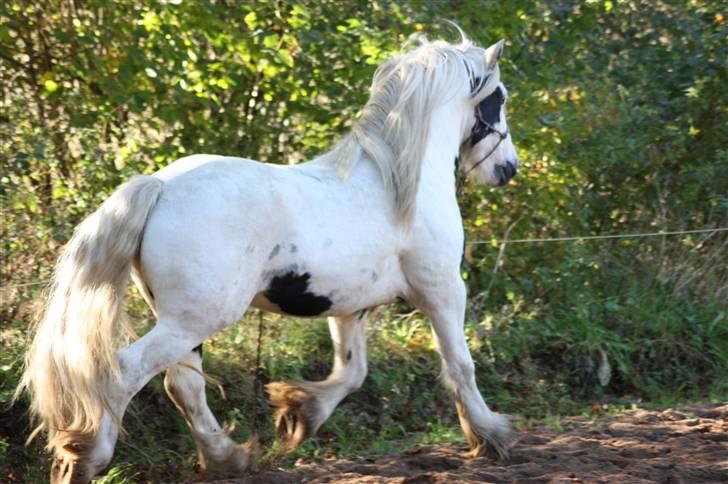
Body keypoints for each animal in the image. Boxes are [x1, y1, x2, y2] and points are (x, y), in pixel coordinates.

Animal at [17, 33, 516, 480]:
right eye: (498, 99)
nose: (507, 168)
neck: (397, 185)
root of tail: (157, 186)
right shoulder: (443, 291)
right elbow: (460, 365)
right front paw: (491, 435)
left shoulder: (348, 309)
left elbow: (351, 372)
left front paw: (299, 414)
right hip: (198, 318)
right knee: (124, 373)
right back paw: (86, 461)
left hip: (182, 321)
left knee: (183, 385)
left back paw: (227, 459)